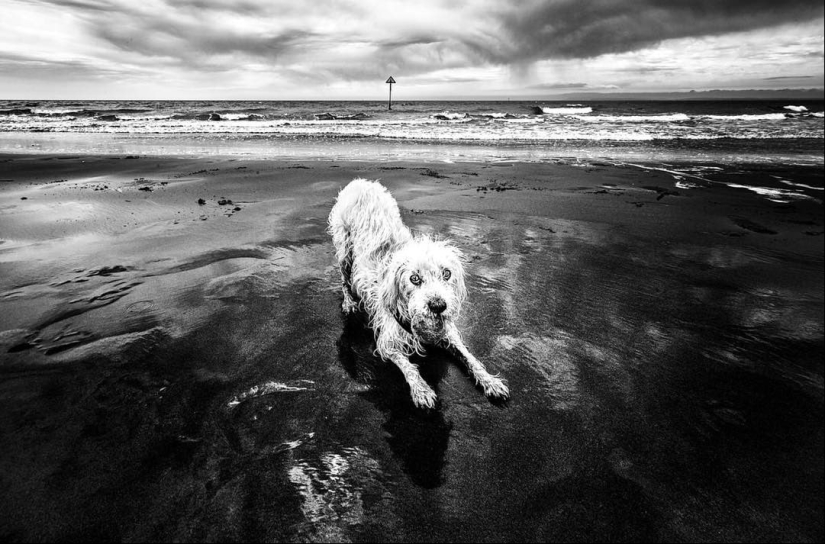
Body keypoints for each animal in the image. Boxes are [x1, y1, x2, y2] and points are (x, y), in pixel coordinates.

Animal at [328, 178, 508, 408]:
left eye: (446, 273)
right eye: (414, 278)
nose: (438, 306)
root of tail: (360, 182)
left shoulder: (447, 333)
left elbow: (469, 357)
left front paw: (489, 381)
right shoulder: (387, 342)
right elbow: (408, 366)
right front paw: (421, 389)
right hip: (345, 247)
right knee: (344, 277)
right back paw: (349, 302)